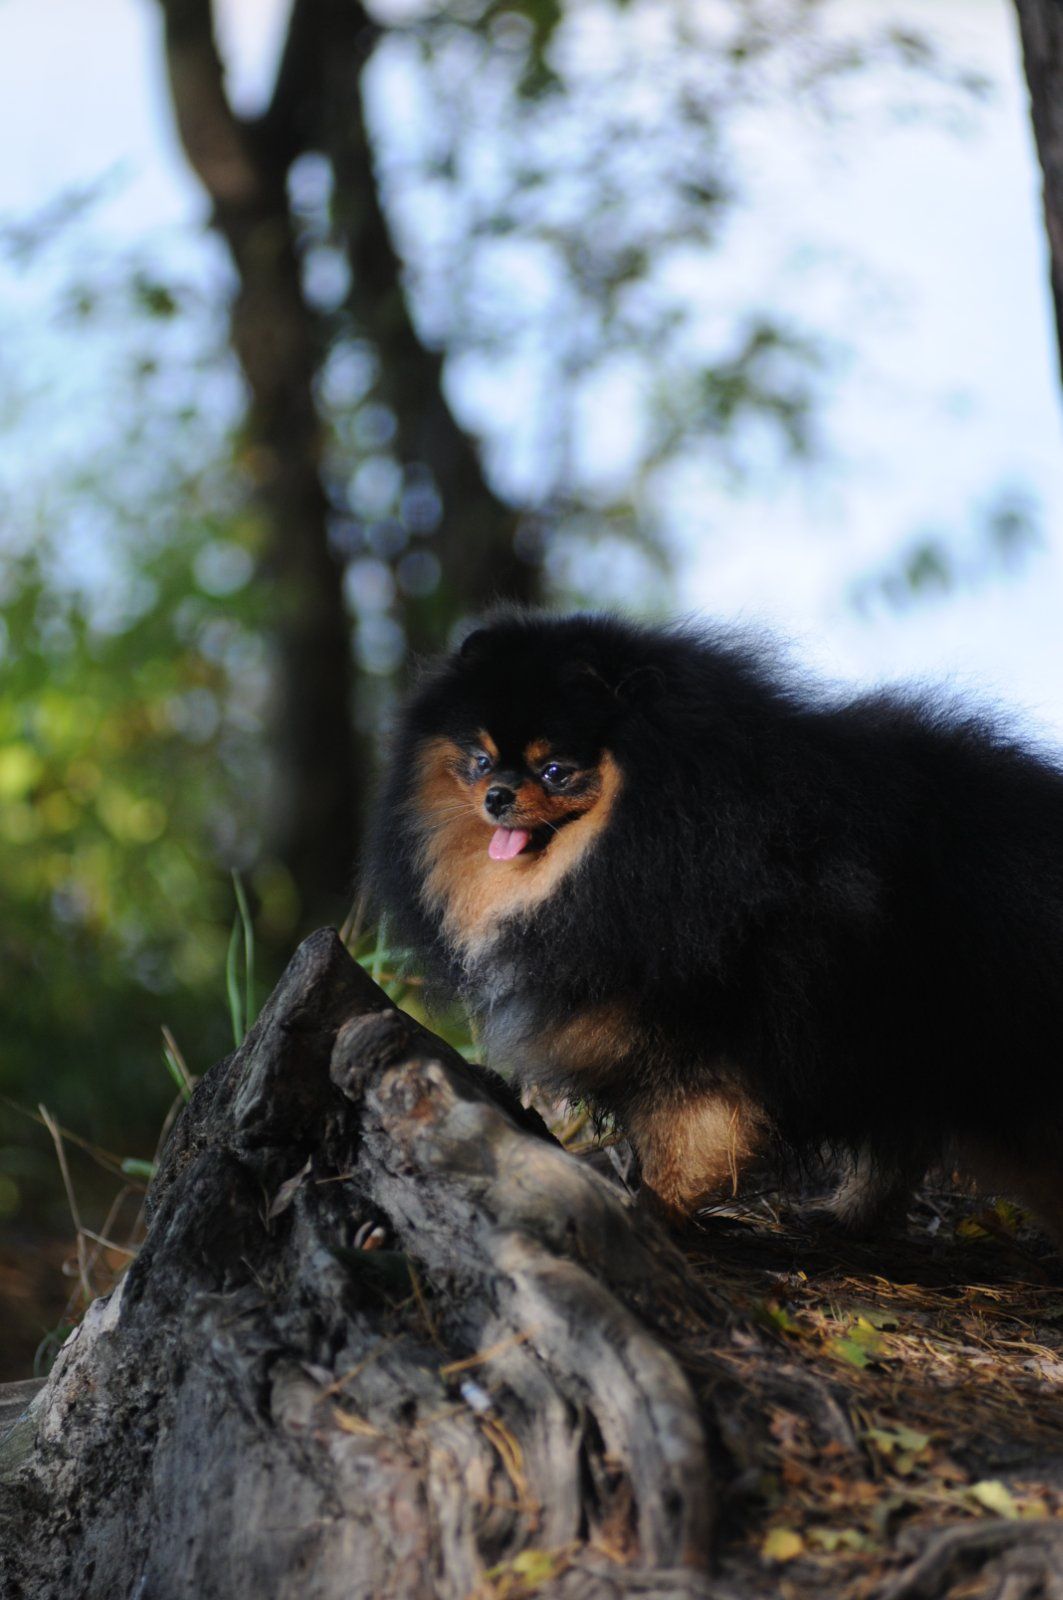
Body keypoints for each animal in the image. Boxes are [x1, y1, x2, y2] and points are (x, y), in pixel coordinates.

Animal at [368, 604, 1063, 1241]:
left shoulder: (708, 1032)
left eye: (555, 770)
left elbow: (691, 1134)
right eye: (481, 760)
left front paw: (654, 1210)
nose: (497, 797)